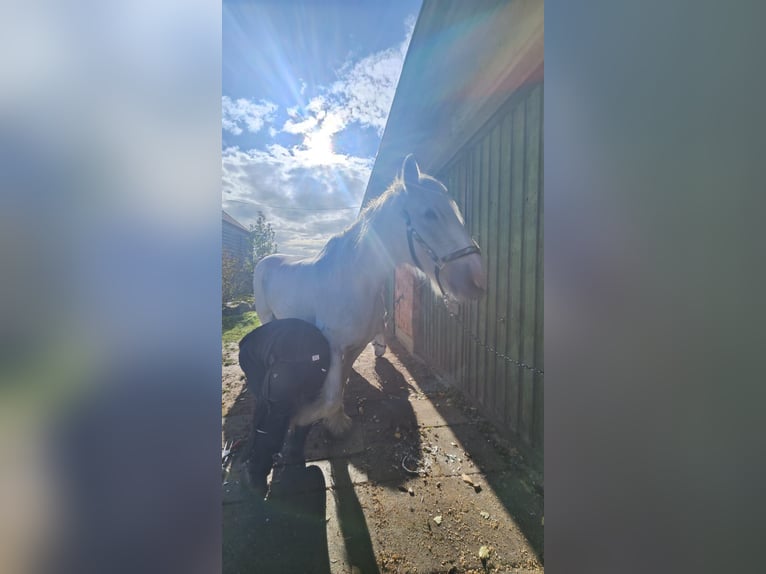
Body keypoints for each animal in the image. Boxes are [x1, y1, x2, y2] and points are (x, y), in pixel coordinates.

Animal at [253, 154, 486, 437]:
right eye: (430, 214)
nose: (477, 280)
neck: (353, 281)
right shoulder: (334, 345)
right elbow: (330, 395)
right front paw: (303, 418)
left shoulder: (357, 345)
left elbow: (340, 386)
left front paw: (336, 421)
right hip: (266, 316)